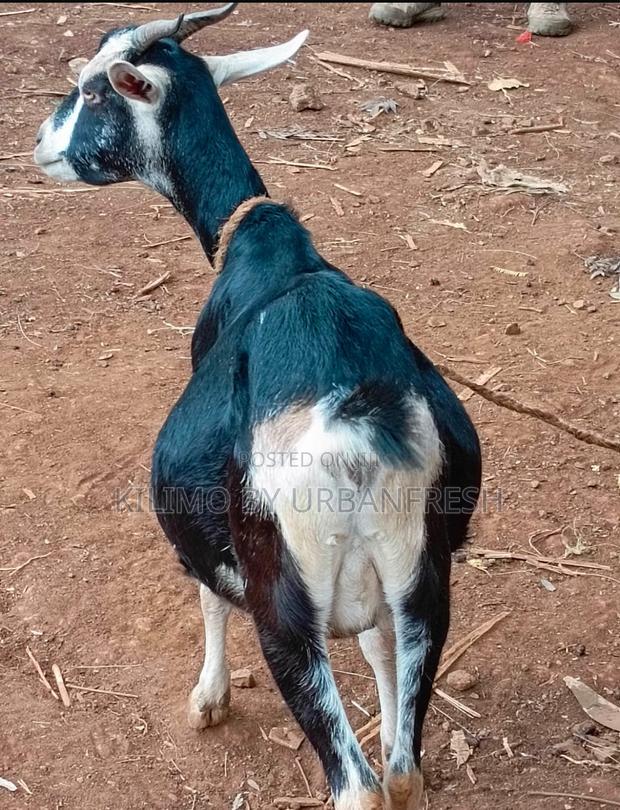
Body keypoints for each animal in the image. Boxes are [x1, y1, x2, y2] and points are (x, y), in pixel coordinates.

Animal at [34, 6, 481, 808]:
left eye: (91, 90)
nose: (39, 145)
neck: (260, 247)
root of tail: (357, 427)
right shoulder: (390, 597)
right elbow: (380, 657)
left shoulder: (211, 537)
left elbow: (208, 594)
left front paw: (208, 699)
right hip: (426, 583)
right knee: (402, 773)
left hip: (286, 607)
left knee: (355, 785)